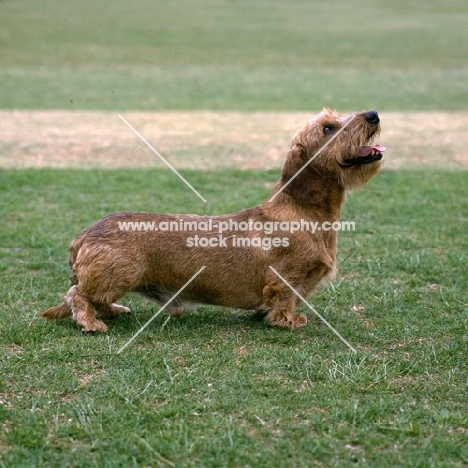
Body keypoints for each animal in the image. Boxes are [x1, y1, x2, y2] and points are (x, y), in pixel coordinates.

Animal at [41, 108, 384, 332]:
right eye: (328, 128)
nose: (373, 114)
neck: (304, 211)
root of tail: (84, 235)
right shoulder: (286, 278)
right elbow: (283, 299)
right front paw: (287, 321)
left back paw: (113, 311)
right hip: (119, 275)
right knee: (77, 295)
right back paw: (91, 322)